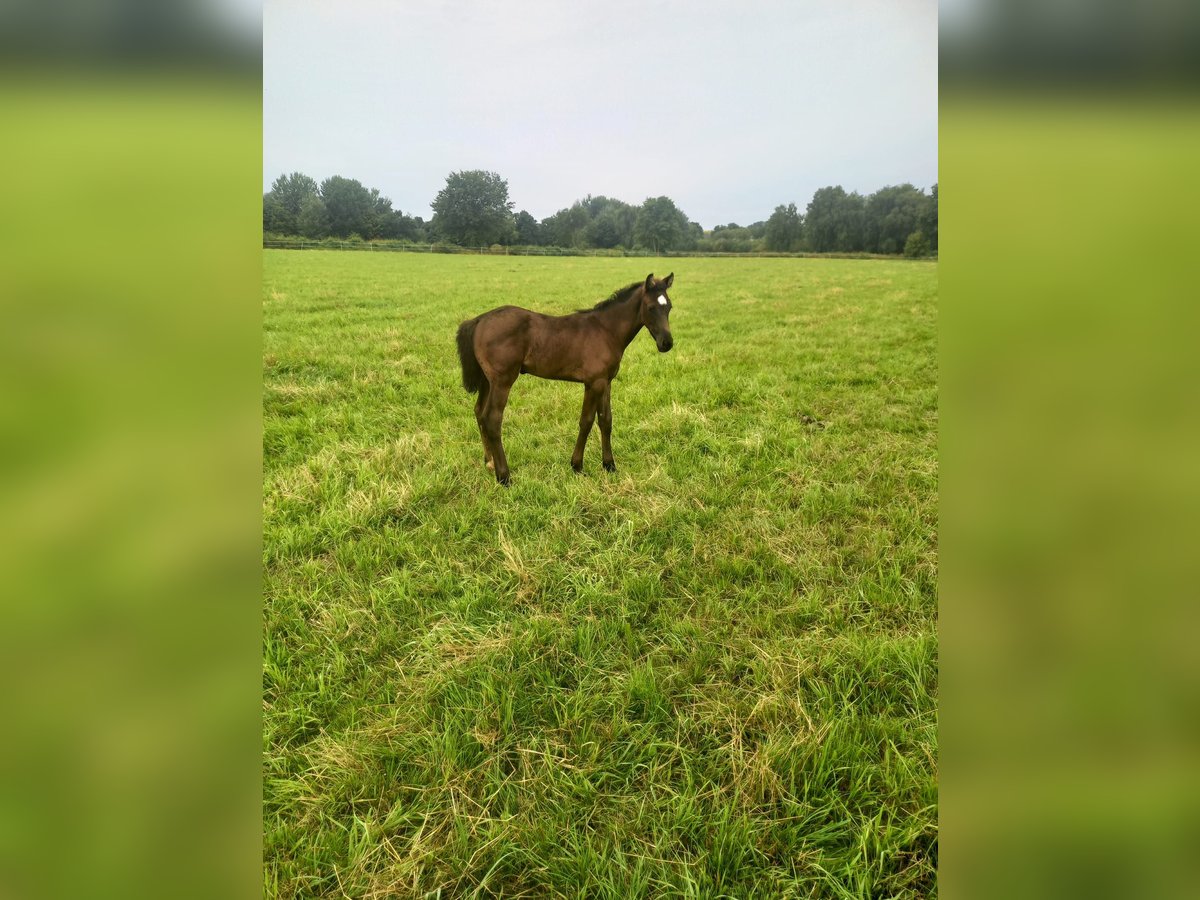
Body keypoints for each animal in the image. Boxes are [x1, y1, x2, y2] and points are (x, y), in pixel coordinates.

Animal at [453, 273, 676, 487]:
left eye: (669, 307)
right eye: (651, 307)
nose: (666, 343)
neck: (606, 330)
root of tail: (479, 320)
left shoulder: (606, 382)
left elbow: (606, 420)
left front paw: (609, 465)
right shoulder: (593, 383)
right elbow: (586, 421)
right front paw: (577, 466)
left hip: (487, 381)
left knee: (479, 412)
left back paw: (490, 462)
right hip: (502, 381)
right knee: (492, 418)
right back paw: (504, 477)